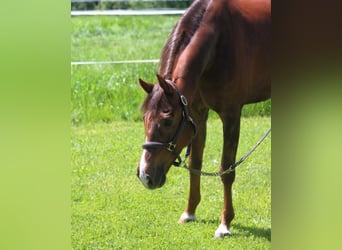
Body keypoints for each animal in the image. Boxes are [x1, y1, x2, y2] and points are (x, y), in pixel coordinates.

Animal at [136, 0, 270, 238]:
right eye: (144, 119)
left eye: (167, 121)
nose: (144, 176)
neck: (218, 41)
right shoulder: (197, 114)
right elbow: (195, 164)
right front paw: (189, 212)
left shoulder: (231, 114)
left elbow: (227, 169)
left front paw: (225, 224)